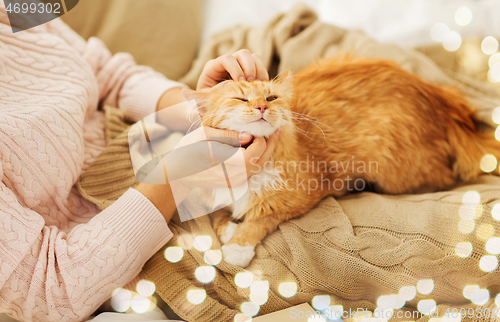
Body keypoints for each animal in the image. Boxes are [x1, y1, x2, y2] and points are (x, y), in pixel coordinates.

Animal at [183, 55, 500, 266]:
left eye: (271, 98)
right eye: (240, 99)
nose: (261, 107)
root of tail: (441, 101)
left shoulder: (298, 198)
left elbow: (260, 219)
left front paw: (238, 246)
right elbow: (217, 215)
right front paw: (229, 228)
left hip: (395, 173)